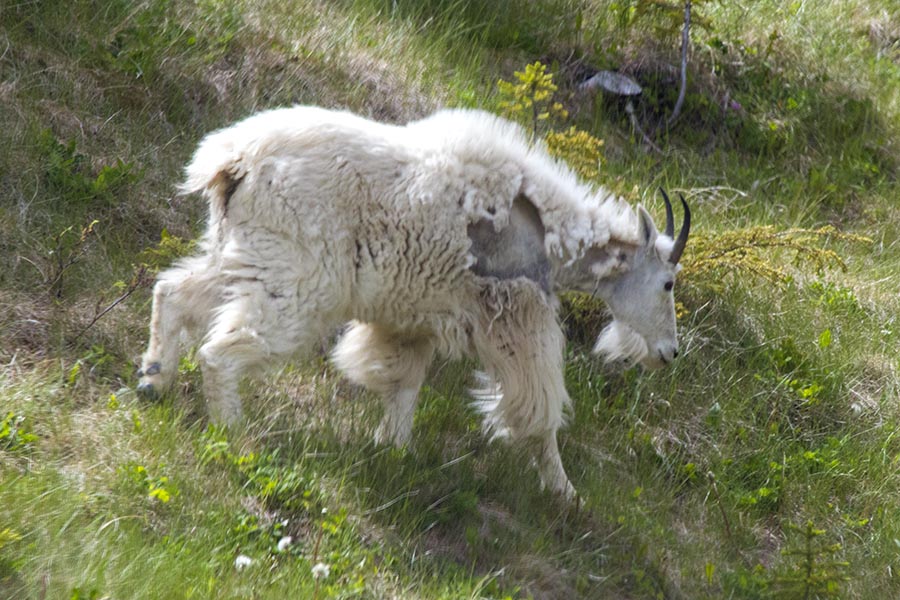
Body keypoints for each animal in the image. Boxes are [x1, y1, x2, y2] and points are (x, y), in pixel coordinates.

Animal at [137, 105, 692, 500]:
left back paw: (153, 381)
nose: (669, 353)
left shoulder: (411, 320)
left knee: (174, 292)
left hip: (242, 253)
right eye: (668, 283)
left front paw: (393, 450)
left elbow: (403, 383)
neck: (546, 234)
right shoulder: (516, 319)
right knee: (221, 351)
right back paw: (231, 433)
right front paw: (564, 491)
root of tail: (232, 161)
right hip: (296, 278)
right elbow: (539, 413)